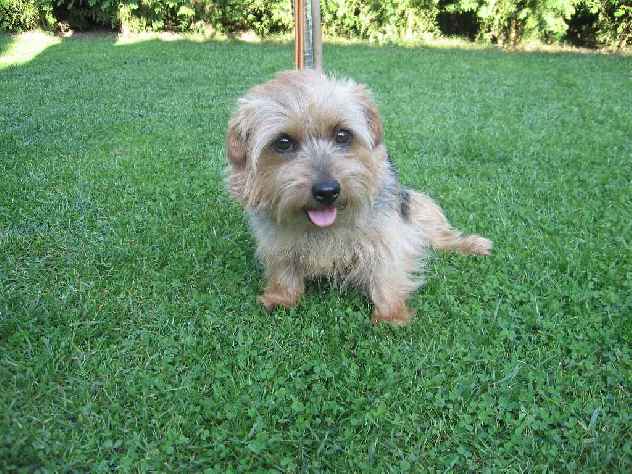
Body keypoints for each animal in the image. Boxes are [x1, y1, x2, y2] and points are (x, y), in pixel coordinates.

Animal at [225, 69, 492, 326]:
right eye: (283, 142)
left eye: (343, 135)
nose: (327, 190)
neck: (327, 227)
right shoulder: (276, 241)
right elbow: (282, 269)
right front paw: (281, 297)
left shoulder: (388, 235)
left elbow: (387, 271)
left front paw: (390, 315)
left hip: (419, 207)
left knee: (439, 235)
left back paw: (472, 244)